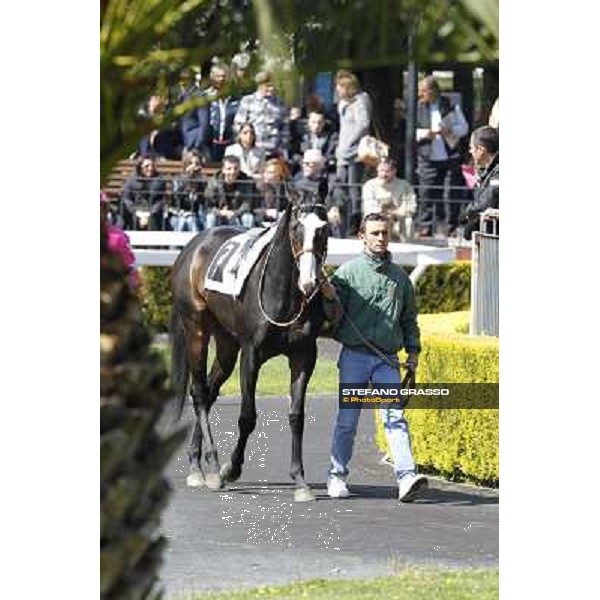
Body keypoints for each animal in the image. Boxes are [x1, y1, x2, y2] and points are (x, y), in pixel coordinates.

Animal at [169, 196, 328, 502]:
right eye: (296, 229)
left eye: (324, 229)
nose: (309, 282)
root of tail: (193, 246)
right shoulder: (251, 353)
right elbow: (247, 417)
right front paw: (231, 468)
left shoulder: (304, 356)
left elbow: (297, 416)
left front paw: (300, 480)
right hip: (197, 329)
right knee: (199, 392)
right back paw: (212, 465)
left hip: (227, 344)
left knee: (210, 390)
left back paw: (196, 462)